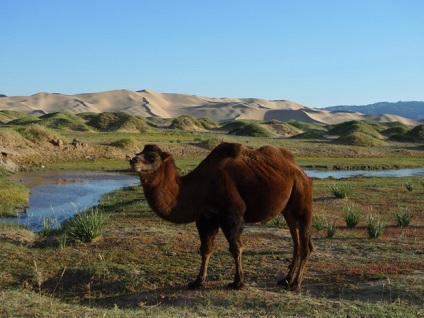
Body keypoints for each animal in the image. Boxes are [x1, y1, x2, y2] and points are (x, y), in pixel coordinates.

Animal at [131, 143, 314, 292]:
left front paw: (238, 283)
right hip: (287, 209)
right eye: (139, 152)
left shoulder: (231, 213)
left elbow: (236, 247)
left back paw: (296, 284)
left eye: (153, 157)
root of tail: (301, 172)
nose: (133, 160)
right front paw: (197, 282)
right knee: (296, 242)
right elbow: (206, 249)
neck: (200, 186)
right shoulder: (206, 217)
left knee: (305, 243)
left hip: (302, 197)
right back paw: (286, 279)